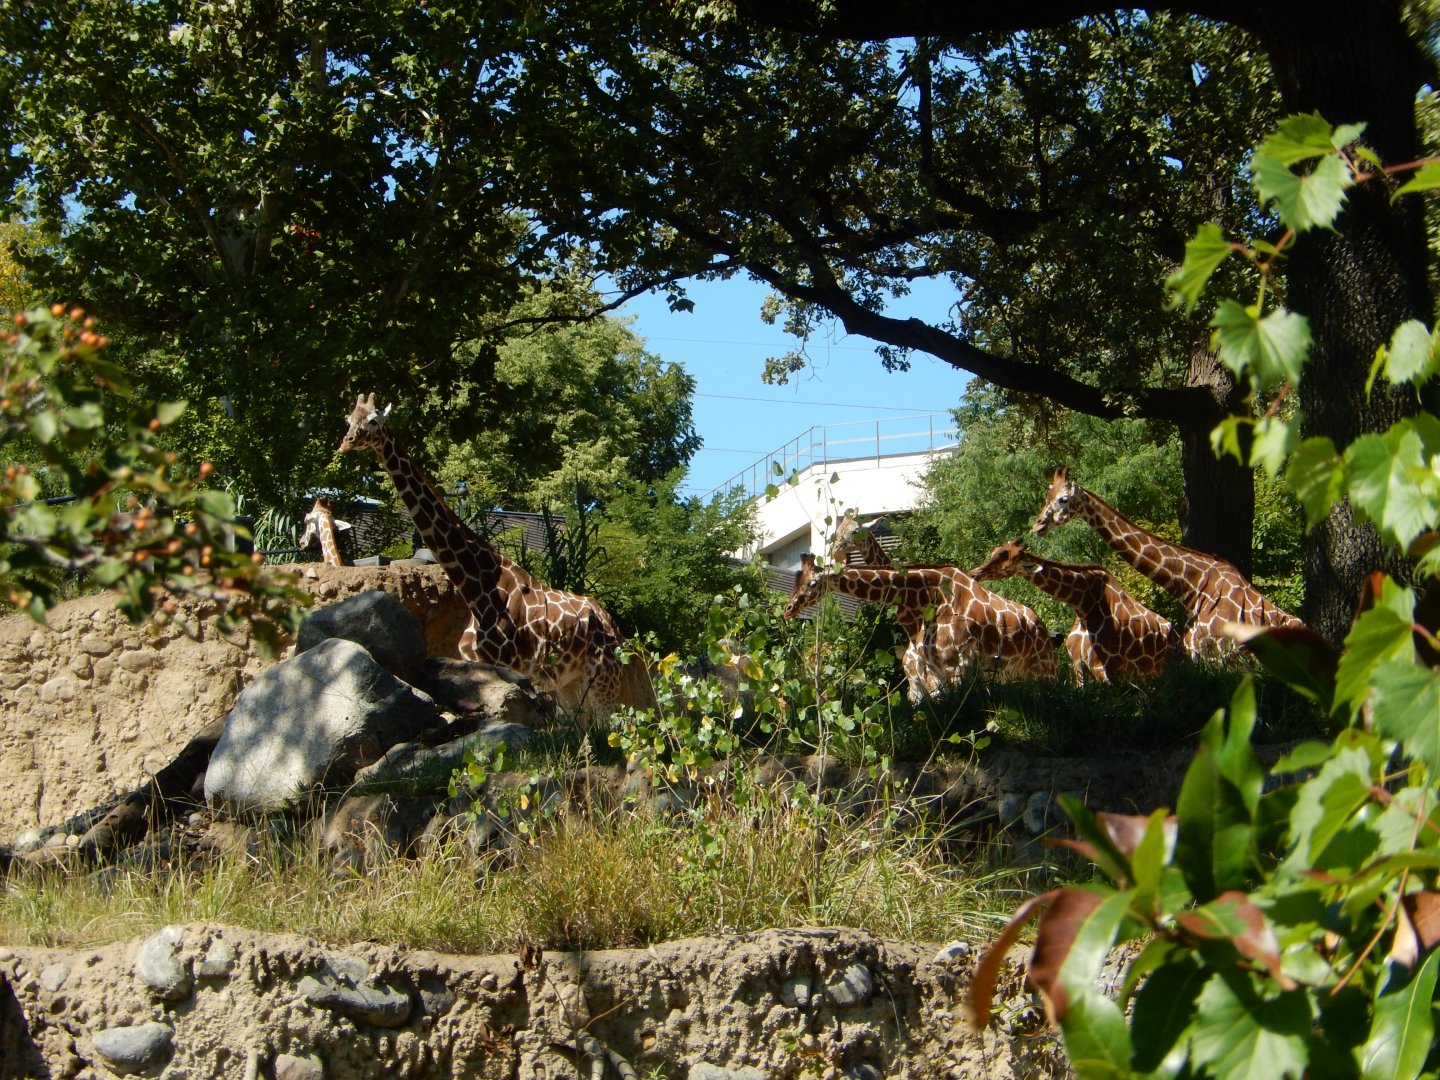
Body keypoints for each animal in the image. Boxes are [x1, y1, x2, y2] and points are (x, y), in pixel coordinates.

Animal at [336, 393, 648, 723]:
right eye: (349, 419)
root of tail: (612, 624)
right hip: (570, 682)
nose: (346, 442)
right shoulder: (483, 663)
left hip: (603, 674)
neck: (477, 588)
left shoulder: (513, 666)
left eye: (374, 421)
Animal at [783, 553, 1058, 703]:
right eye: (797, 580)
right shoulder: (934, 670)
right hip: (1011, 674)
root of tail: (1043, 628)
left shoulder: (961, 663)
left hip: (1042, 670)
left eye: (813, 583)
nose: (788, 608)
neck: (929, 596)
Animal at [970, 540, 1182, 685]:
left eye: (1006, 560)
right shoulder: (1078, 665)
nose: (974, 573)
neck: (1084, 605)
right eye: (995, 552)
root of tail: (1175, 634)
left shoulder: (1105, 667)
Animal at [1031, 467, 1304, 660]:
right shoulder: (1197, 654)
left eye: (1063, 499)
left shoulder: (1218, 656)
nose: (1037, 525)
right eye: (1047, 496)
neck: (1194, 587)